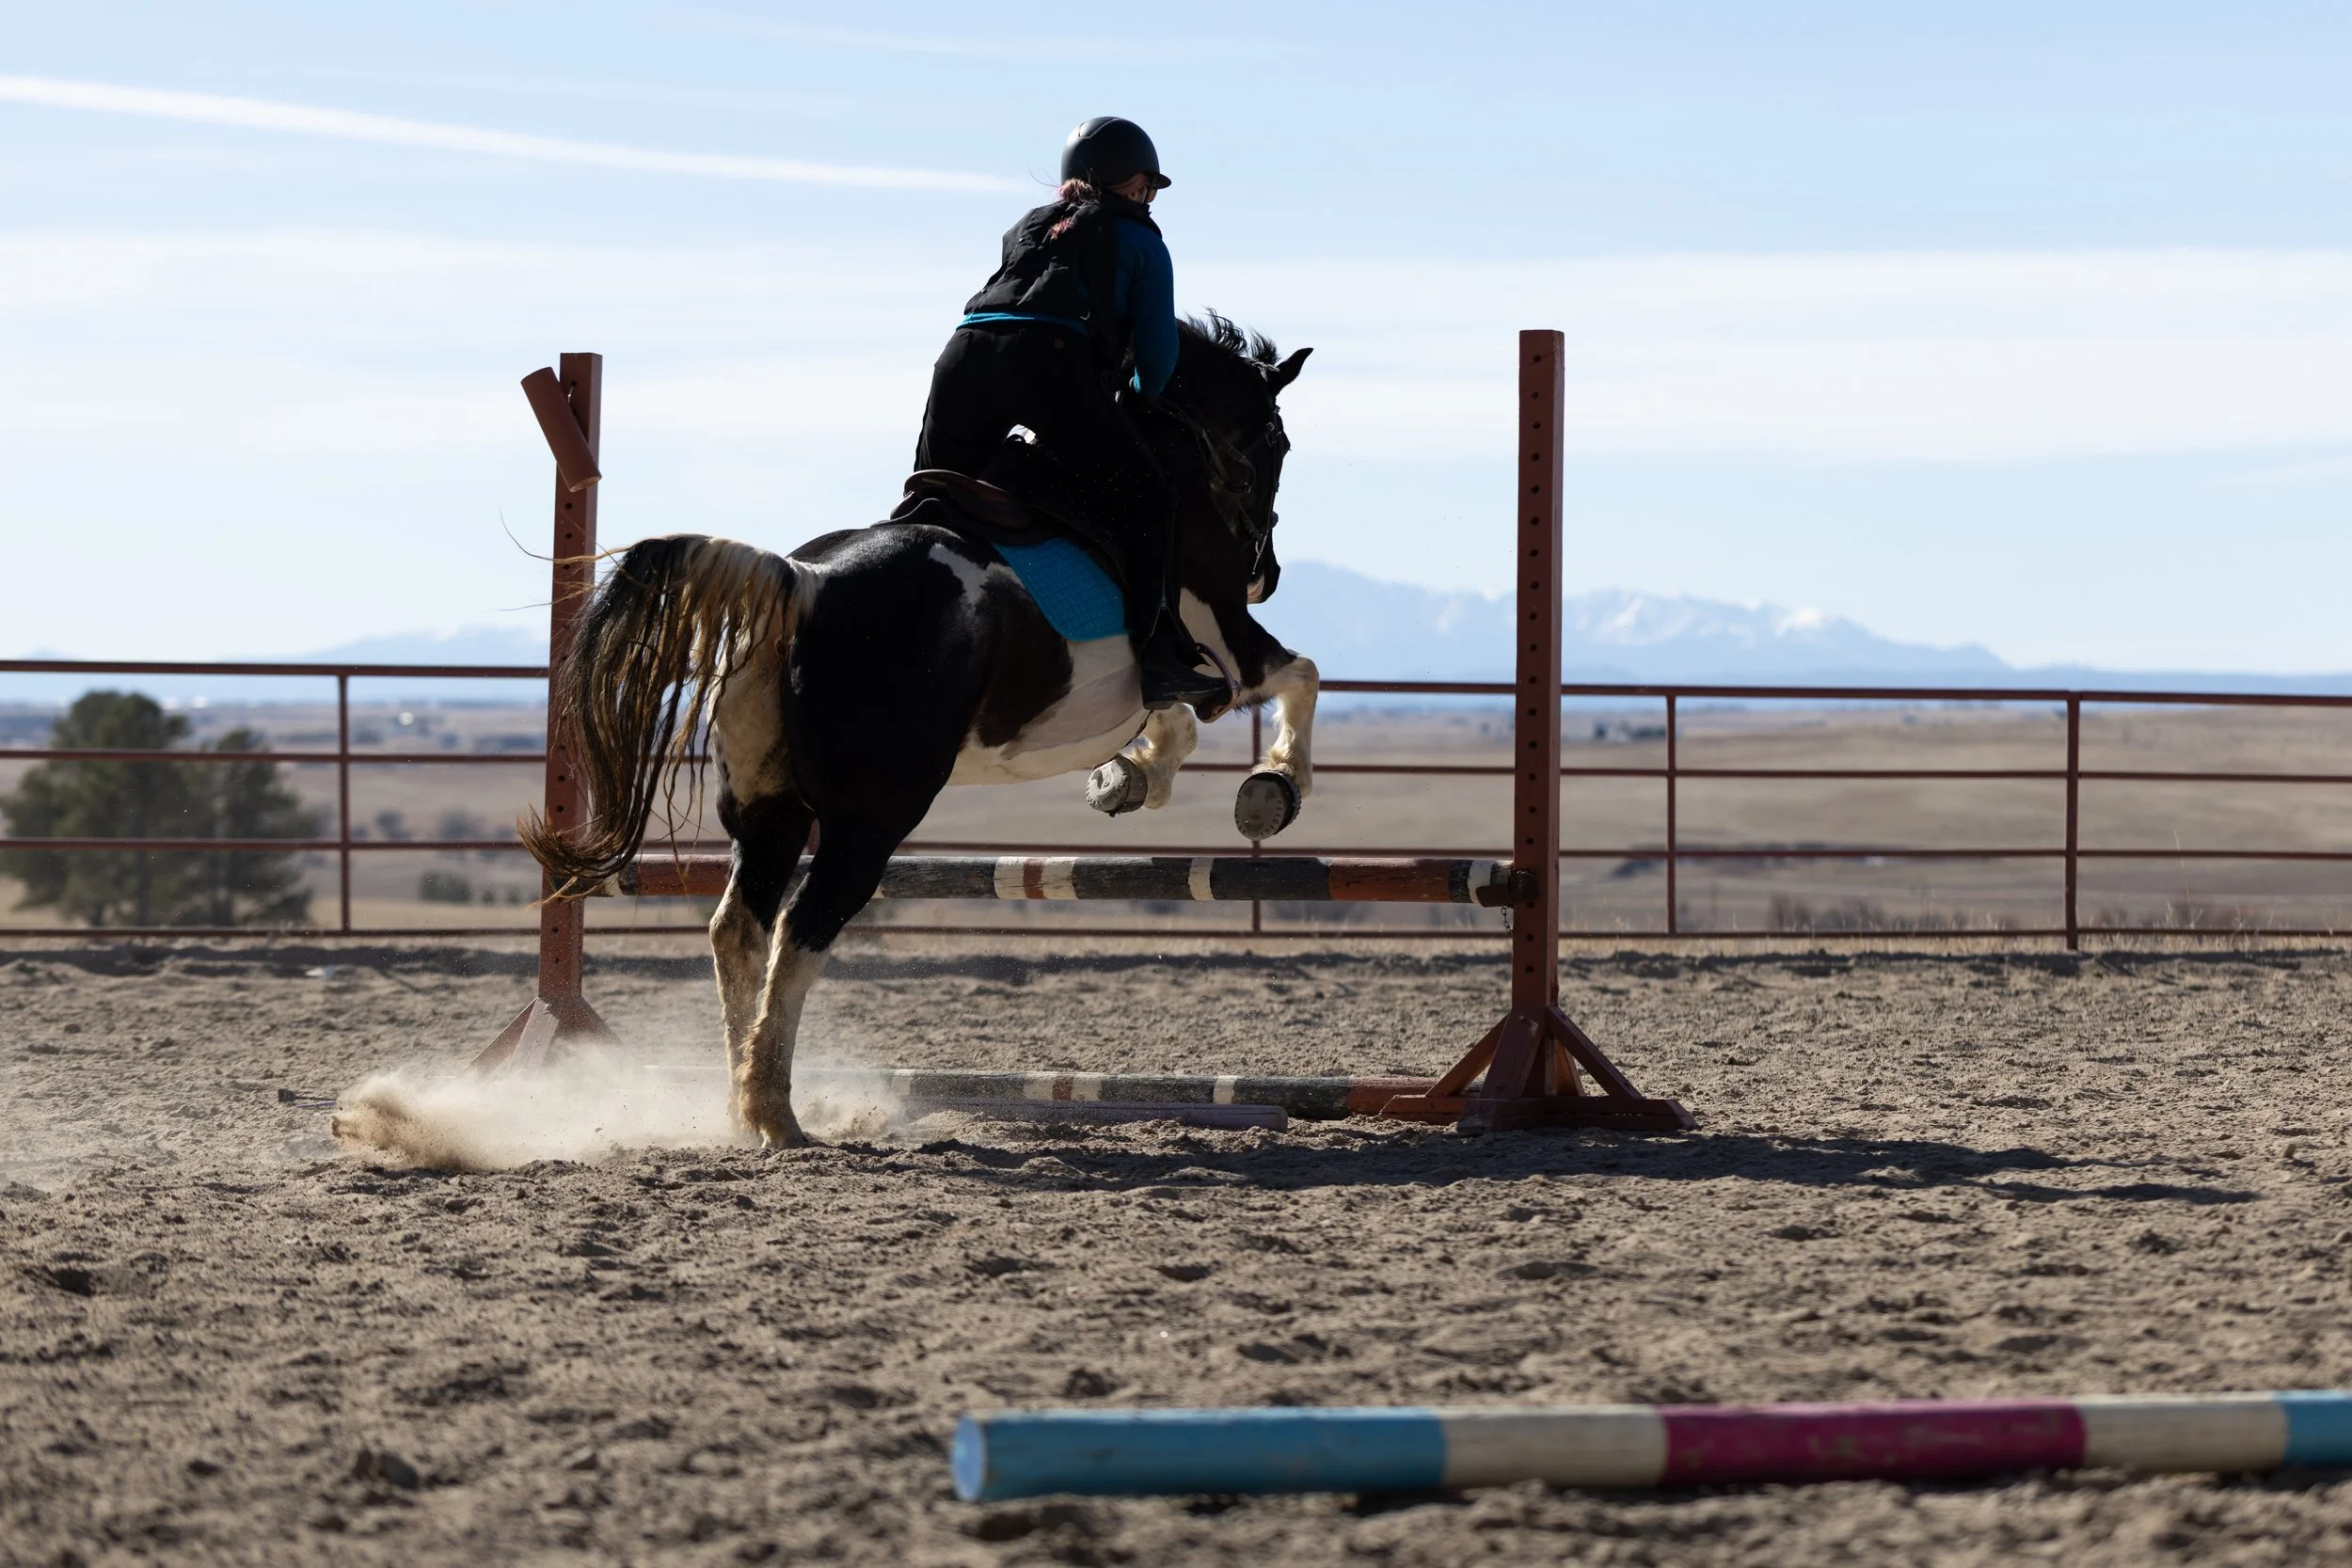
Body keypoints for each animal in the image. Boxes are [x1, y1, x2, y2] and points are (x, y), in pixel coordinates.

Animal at [521, 315, 1316, 1147]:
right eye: (1277, 441)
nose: (1266, 574)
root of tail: (805, 584)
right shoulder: (1223, 635)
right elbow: (1297, 677)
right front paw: (1271, 788)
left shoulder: (1150, 680)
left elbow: (1175, 722)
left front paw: (1129, 778)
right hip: (872, 819)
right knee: (802, 929)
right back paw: (778, 1113)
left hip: (772, 812)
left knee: (740, 928)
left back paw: (743, 1105)